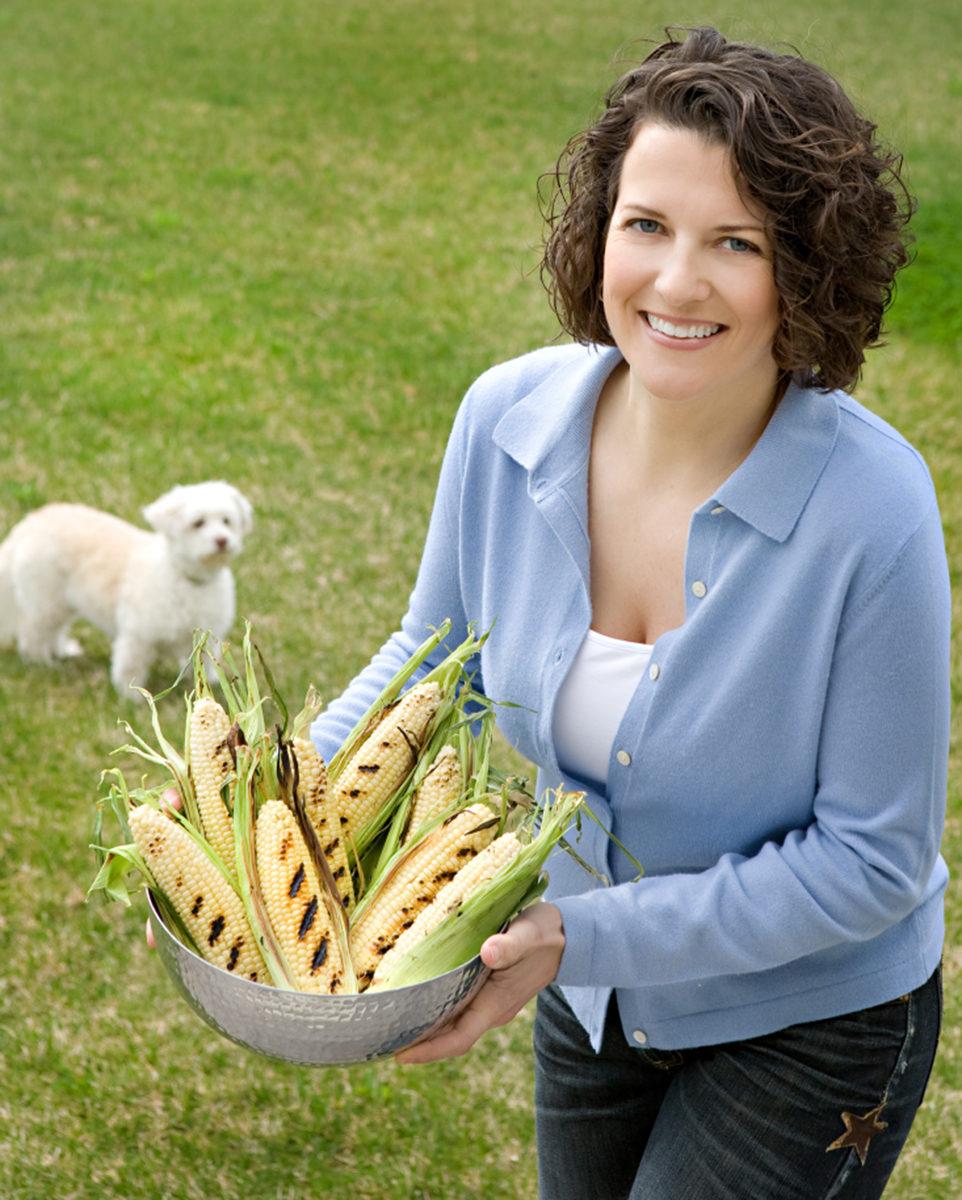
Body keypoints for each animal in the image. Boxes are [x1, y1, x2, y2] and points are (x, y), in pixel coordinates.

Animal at [0, 482, 253, 700]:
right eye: (198, 523)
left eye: (227, 521)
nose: (222, 540)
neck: (185, 577)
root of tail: (28, 523)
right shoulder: (137, 635)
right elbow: (130, 667)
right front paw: (132, 697)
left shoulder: (205, 637)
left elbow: (205, 666)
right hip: (46, 601)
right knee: (33, 633)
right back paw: (42, 662)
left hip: (62, 603)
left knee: (52, 631)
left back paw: (62, 651)